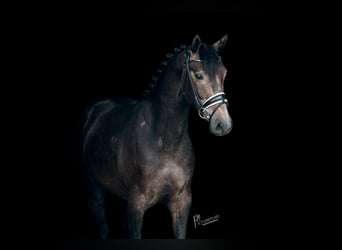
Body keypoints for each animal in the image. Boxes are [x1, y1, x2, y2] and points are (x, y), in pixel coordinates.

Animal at [81, 34, 234, 239]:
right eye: (199, 75)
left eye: (224, 73)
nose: (223, 124)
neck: (164, 142)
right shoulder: (136, 205)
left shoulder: (182, 202)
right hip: (94, 189)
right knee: (102, 229)